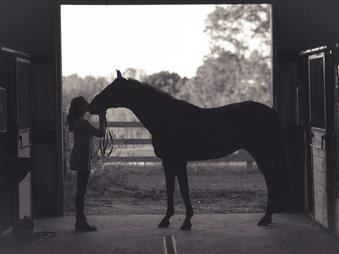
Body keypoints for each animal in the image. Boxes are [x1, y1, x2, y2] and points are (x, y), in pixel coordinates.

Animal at [89, 69, 286, 230]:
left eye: (112, 89)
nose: (92, 106)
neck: (166, 118)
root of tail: (270, 112)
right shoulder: (167, 162)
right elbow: (170, 189)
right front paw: (166, 220)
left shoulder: (179, 161)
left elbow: (184, 189)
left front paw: (186, 222)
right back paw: (267, 218)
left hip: (261, 154)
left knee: (271, 180)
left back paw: (265, 218)